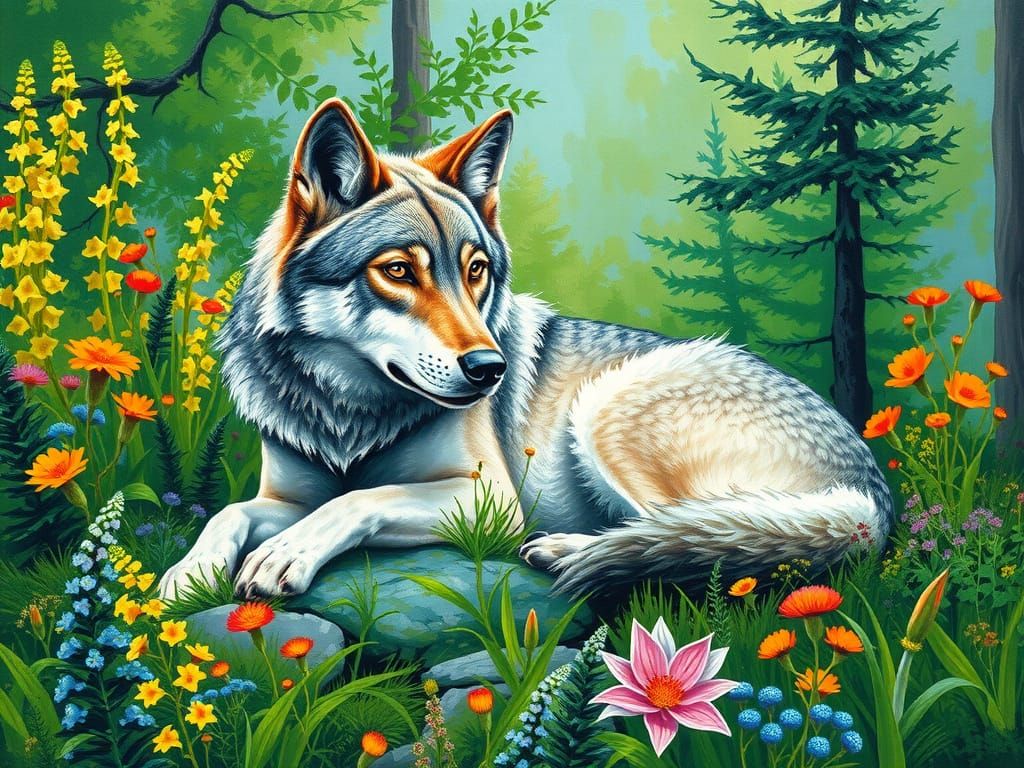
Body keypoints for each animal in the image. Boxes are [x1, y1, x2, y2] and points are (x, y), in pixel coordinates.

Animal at [159, 98, 892, 601]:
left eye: (476, 269)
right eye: (397, 271)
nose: (490, 370)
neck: (348, 416)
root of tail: (872, 490)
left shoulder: (489, 503)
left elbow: (359, 501)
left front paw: (285, 555)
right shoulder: (283, 494)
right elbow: (228, 511)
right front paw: (186, 574)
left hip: (607, 411)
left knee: (689, 533)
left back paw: (567, 550)